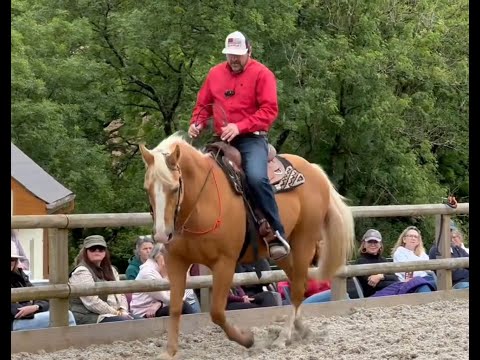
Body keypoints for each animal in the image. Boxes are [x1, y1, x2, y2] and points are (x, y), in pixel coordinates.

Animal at [140, 132, 356, 358]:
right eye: (147, 189)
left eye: (174, 188)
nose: (162, 234)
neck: (202, 202)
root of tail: (314, 170)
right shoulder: (176, 262)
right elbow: (175, 308)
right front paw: (170, 352)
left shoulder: (224, 263)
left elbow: (217, 312)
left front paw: (247, 339)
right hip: (283, 252)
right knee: (299, 283)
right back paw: (301, 329)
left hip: (304, 243)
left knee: (297, 289)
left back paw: (283, 337)